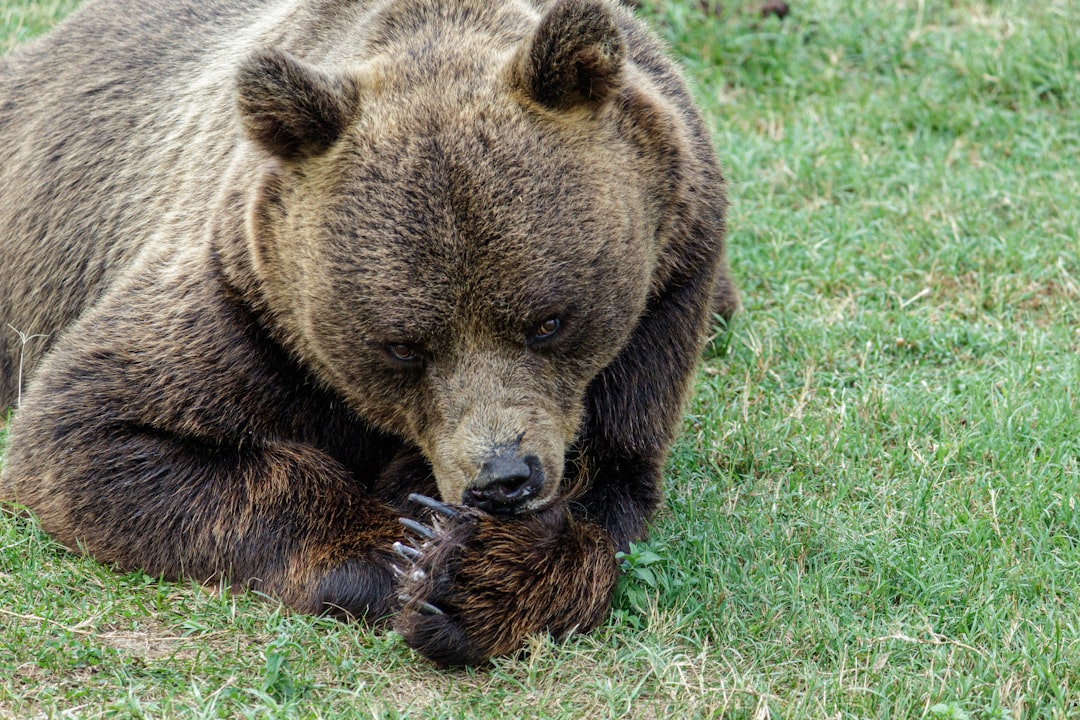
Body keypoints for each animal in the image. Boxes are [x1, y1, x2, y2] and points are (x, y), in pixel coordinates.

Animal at [0, 0, 736, 666]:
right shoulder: (246, 307)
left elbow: (611, 481)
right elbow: (95, 432)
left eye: (549, 321)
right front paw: (407, 552)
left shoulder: (667, 292)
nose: (503, 478)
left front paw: (473, 576)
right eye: (403, 347)